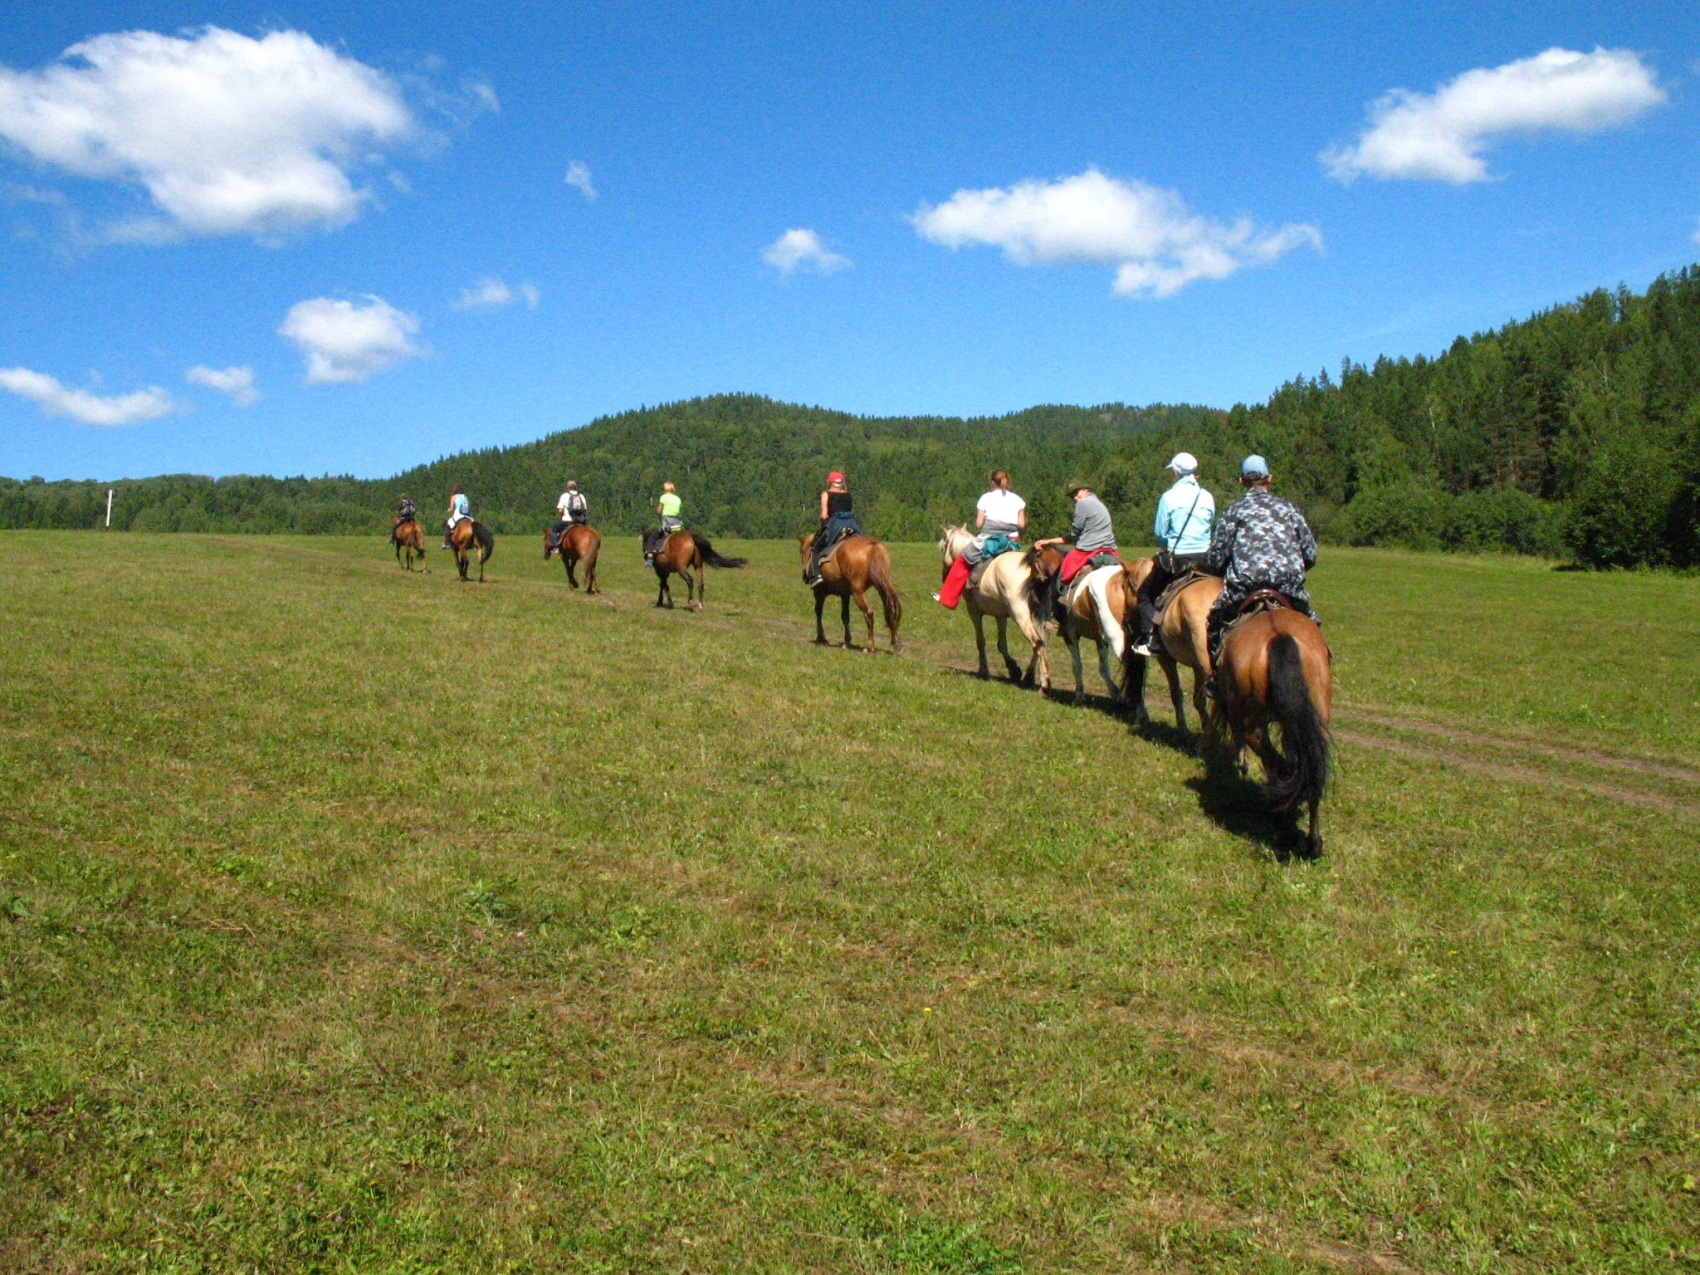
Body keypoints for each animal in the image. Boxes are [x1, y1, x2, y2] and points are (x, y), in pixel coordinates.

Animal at [931, 523, 1047, 693]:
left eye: (942, 548)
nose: (944, 575)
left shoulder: (974, 611)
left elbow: (980, 641)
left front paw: (983, 670)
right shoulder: (1001, 615)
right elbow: (1001, 644)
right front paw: (1013, 669)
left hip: (1021, 616)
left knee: (1037, 642)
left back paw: (1040, 682)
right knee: (1042, 642)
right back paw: (1031, 676)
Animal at [1217, 605, 1332, 863]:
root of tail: (1279, 636)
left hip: (1251, 726)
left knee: (1280, 766)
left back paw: (1284, 826)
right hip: (1312, 720)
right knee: (1310, 771)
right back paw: (1313, 844)